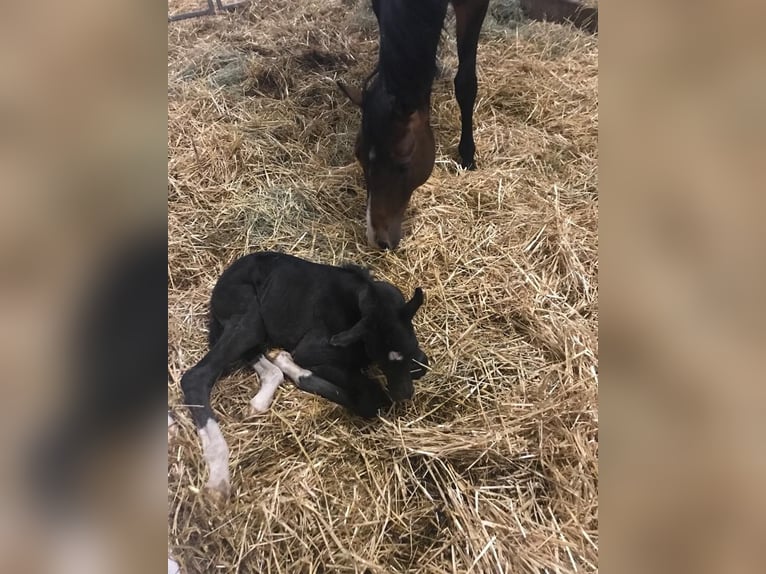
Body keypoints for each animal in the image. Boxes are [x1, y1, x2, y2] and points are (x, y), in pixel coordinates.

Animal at [338, 0, 597, 250]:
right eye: (358, 155)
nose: (377, 240)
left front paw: (468, 157)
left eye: (403, 164)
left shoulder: (474, 6)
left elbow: (465, 83)